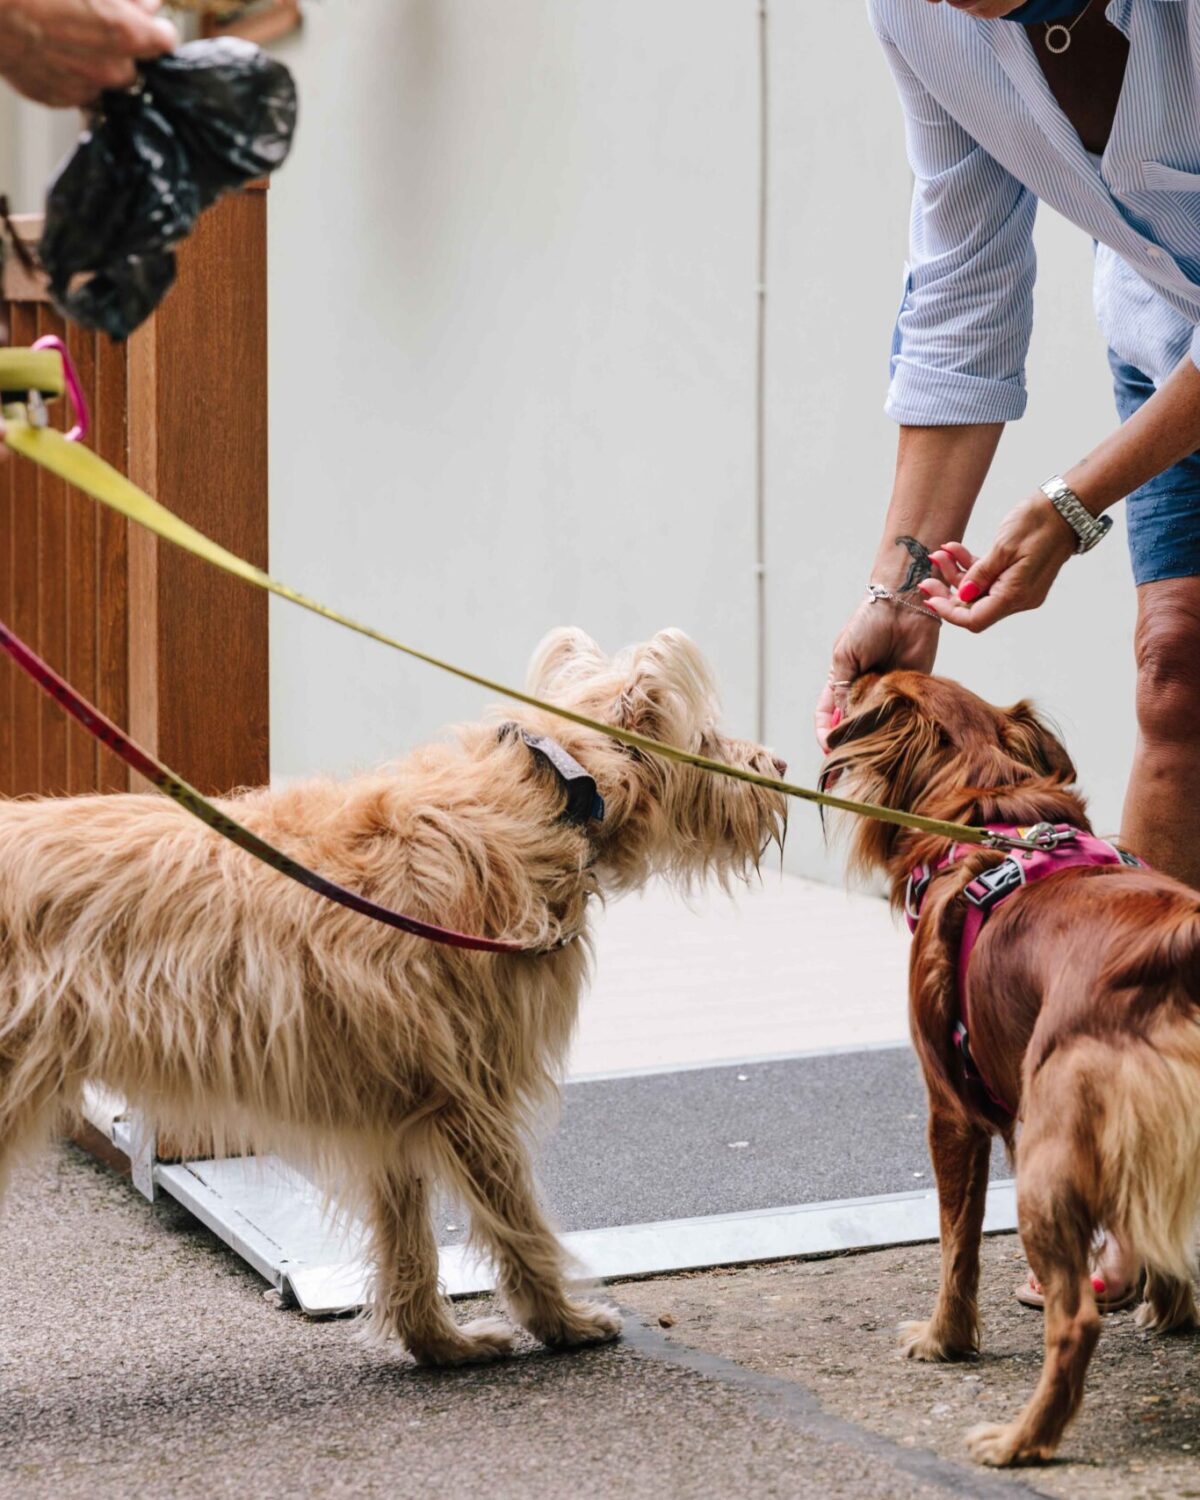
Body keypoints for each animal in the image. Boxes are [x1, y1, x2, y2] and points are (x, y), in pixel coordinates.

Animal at [0, 627, 786, 1368]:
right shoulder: (475, 1098)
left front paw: (438, 1343)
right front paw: (560, 1320)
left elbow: (410, 1238)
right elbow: (518, 1219)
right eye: (706, 736)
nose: (777, 766)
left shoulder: (401, 1100)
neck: (550, 792)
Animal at [822, 675, 1200, 1470]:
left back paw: (1022, 1440)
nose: (850, 677)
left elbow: (954, 1248)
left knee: (1074, 1320)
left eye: (874, 686)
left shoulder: (951, 1112)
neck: (986, 815)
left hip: (1045, 1167)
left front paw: (944, 1340)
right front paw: (1174, 1312)